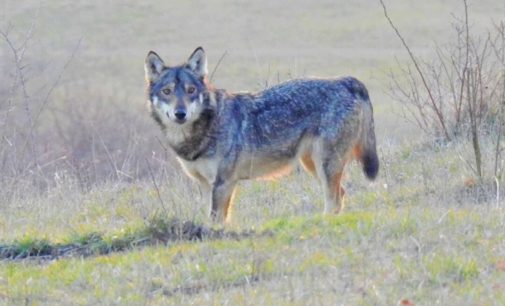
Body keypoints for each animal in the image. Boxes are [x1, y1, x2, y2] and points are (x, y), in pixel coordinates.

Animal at [144, 47, 376, 222]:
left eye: (191, 90)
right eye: (167, 92)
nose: (180, 113)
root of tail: (345, 81)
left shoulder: (224, 183)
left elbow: (217, 219)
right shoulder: (205, 184)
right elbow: (210, 219)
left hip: (325, 165)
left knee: (334, 199)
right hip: (313, 165)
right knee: (341, 194)